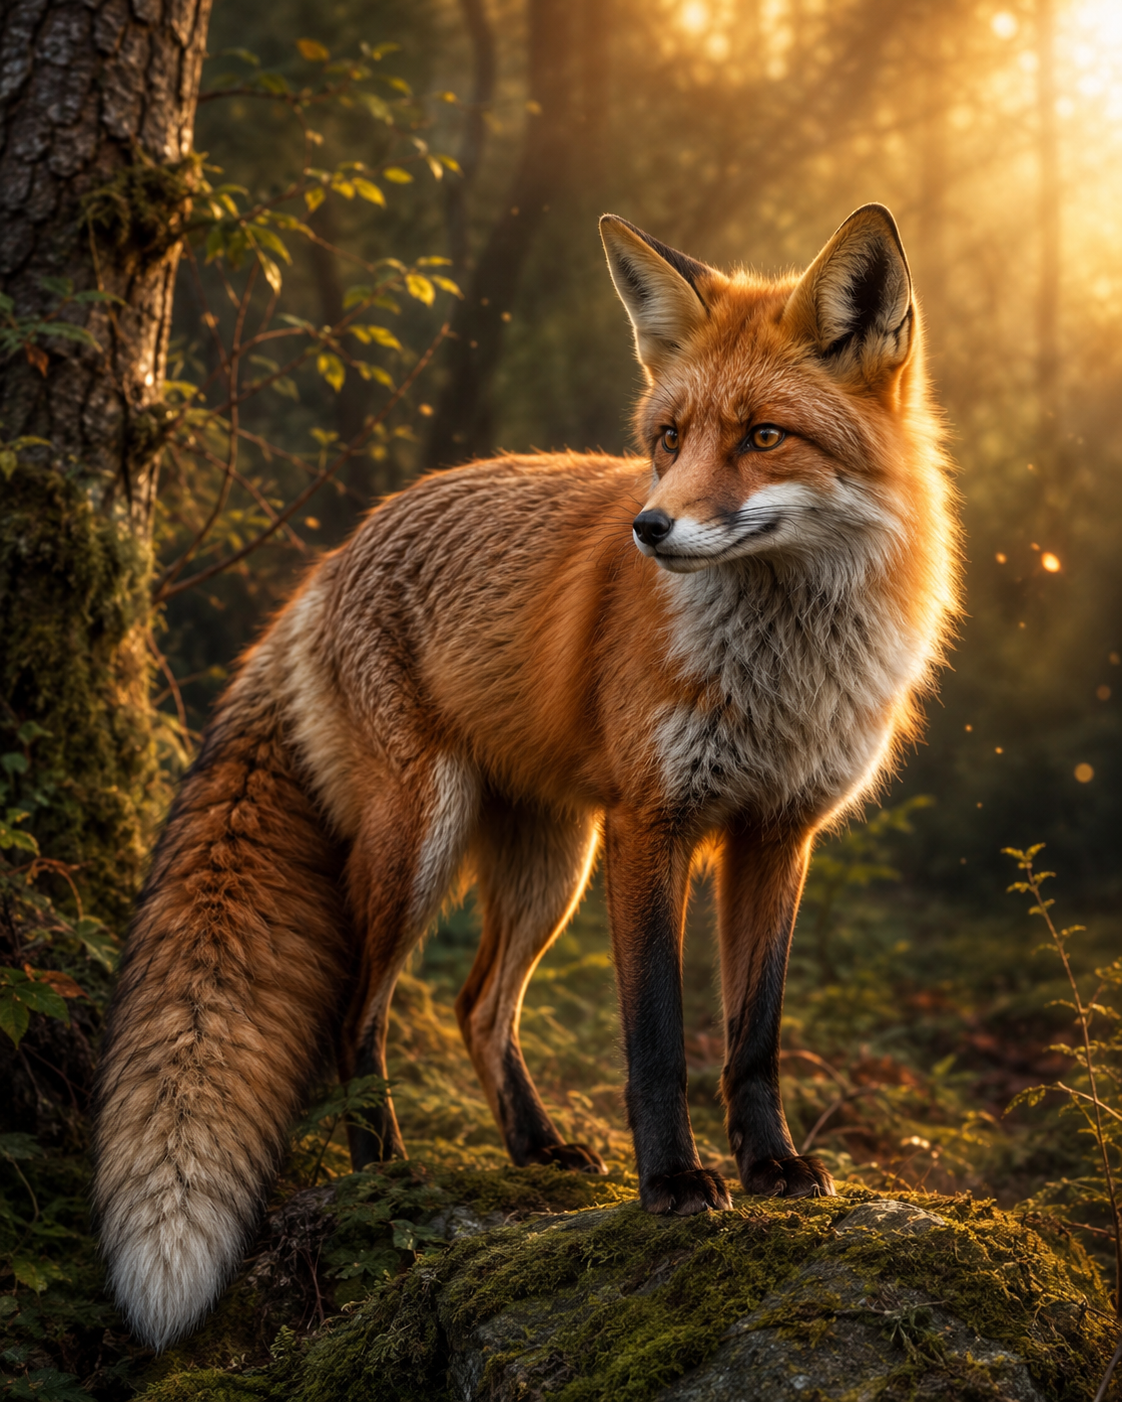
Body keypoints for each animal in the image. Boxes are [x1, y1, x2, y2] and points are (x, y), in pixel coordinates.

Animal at [93, 203, 959, 1349]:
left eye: (764, 436)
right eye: (669, 441)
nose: (650, 528)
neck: (782, 667)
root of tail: (331, 559)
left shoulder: (778, 832)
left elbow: (754, 1033)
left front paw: (770, 1166)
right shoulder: (653, 824)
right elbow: (656, 1036)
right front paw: (673, 1184)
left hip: (551, 863)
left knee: (477, 1005)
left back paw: (536, 1146)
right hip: (424, 841)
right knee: (356, 1013)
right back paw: (386, 1172)